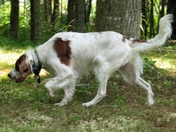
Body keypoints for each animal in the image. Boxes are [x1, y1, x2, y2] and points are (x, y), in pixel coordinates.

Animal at [7, 14, 172, 107]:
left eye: (16, 66)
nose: (8, 75)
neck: (42, 53)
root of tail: (125, 39)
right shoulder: (70, 75)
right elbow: (67, 91)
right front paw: (62, 103)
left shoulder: (65, 72)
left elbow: (48, 84)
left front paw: (53, 95)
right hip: (129, 74)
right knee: (147, 84)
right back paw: (150, 102)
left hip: (102, 68)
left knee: (102, 92)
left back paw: (89, 104)